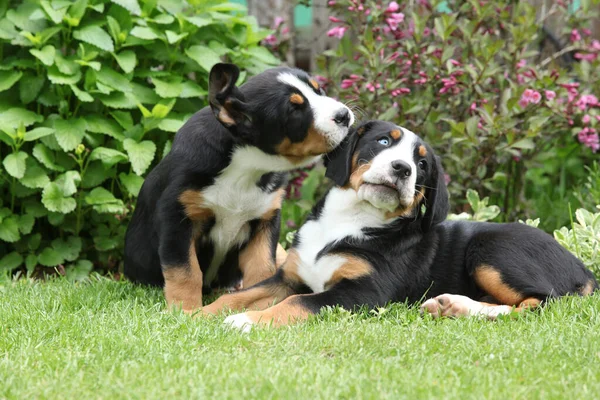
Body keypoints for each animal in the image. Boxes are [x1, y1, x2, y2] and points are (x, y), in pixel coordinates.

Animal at [124, 61, 354, 312]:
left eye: (318, 90)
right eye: (293, 110)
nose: (343, 115)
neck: (247, 167)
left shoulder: (265, 220)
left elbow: (262, 267)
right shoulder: (177, 217)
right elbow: (185, 271)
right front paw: (185, 310)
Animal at [203, 119, 600, 332]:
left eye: (422, 165)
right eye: (382, 141)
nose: (402, 169)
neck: (349, 220)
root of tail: (583, 268)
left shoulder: (363, 293)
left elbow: (297, 302)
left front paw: (247, 321)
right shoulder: (289, 275)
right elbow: (239, 295)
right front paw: (196, 314)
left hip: (491, 250)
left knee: (540, 303)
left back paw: (457, 306)